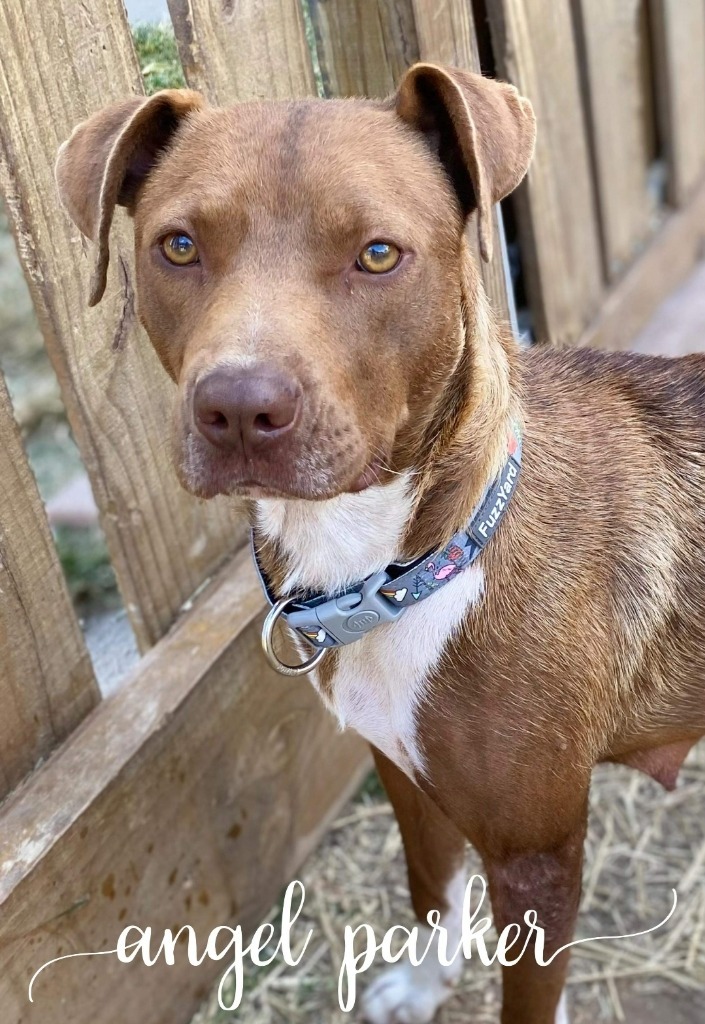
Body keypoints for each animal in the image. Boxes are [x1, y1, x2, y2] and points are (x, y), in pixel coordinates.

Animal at [55, 64, 705, 1024]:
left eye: (376, 255)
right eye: (177, 245)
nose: (238, 406)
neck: (405, 569)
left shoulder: (537, 856)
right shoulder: (402, 775)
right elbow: (430, 888)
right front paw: (425, 983)